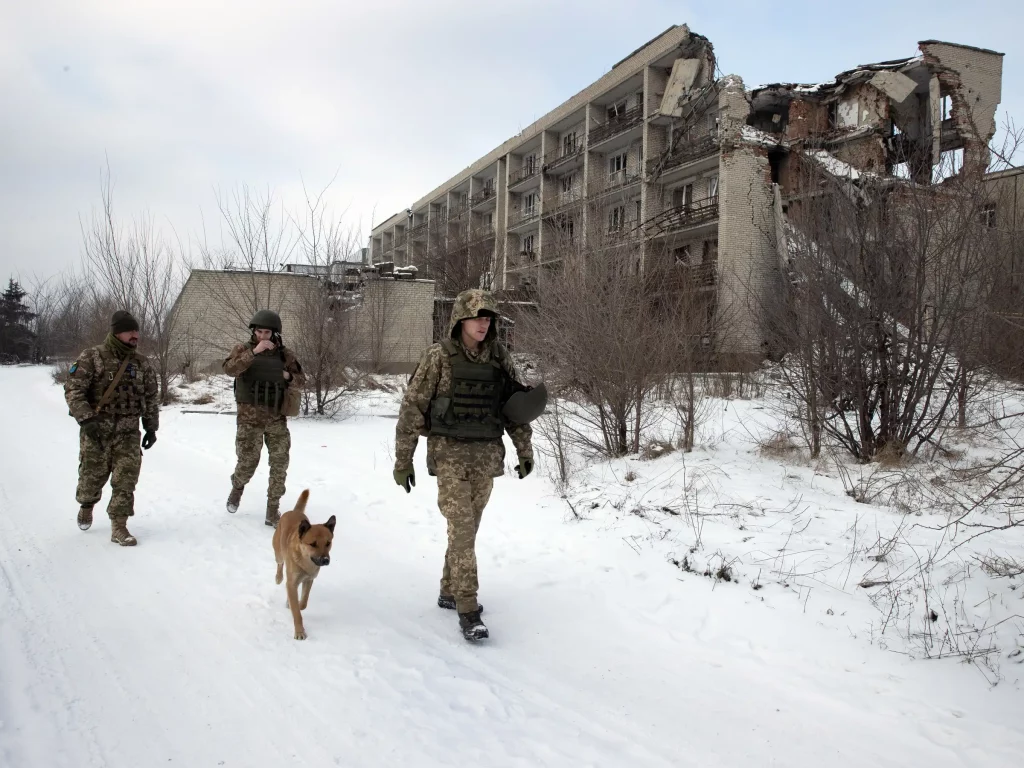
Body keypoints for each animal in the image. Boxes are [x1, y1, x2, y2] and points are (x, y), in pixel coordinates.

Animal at [272, 489, 335, 638]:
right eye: (313, 544)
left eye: (328, 543)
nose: (325, 560)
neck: (305, 561)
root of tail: (293, 511)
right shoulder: (292, 582)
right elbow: (296, 612)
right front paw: (300, 631)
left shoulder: (309, 580)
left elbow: (303, 603)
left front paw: (295, 604)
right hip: (278, 553)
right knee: (280, 564)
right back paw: (278, 577)